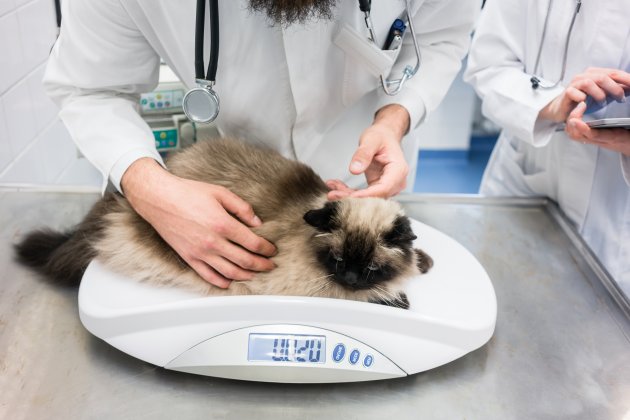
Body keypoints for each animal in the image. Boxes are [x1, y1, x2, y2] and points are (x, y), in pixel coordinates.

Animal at [14, 138, 434, 308]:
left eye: (371, 267)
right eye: (340, 262)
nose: (350, 279)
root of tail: (120, 202)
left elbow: (416, 257)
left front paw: (424, 263)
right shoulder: (316, 287)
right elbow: (378, 297)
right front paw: (399, 299)